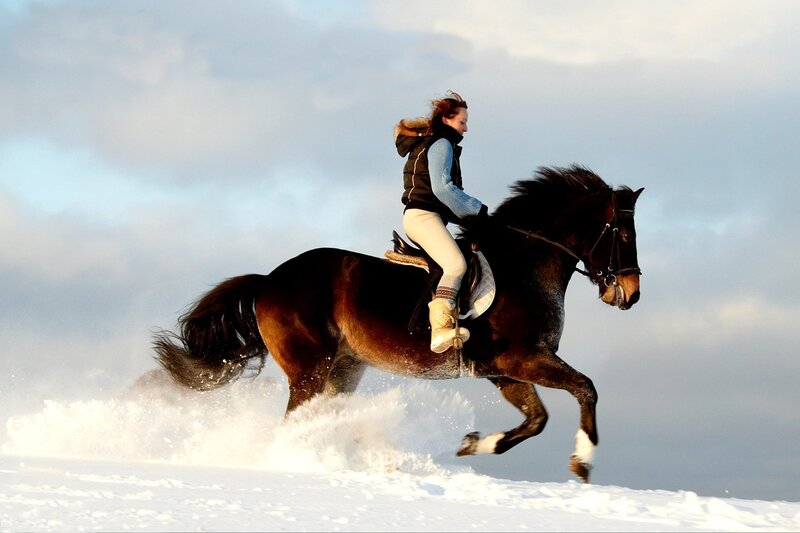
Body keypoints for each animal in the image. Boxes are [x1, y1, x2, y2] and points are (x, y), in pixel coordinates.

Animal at [152, 165, 643, 483]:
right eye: (623, 234)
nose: (631, 293)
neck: (525, 267)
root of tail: (269, 280)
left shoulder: (502, 371)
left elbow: (536, 420)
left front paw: (471, 444)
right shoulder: (525, 359)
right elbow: (586, 389)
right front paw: (583, 462)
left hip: (343, 370)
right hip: (309, 370)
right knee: (295, 422)